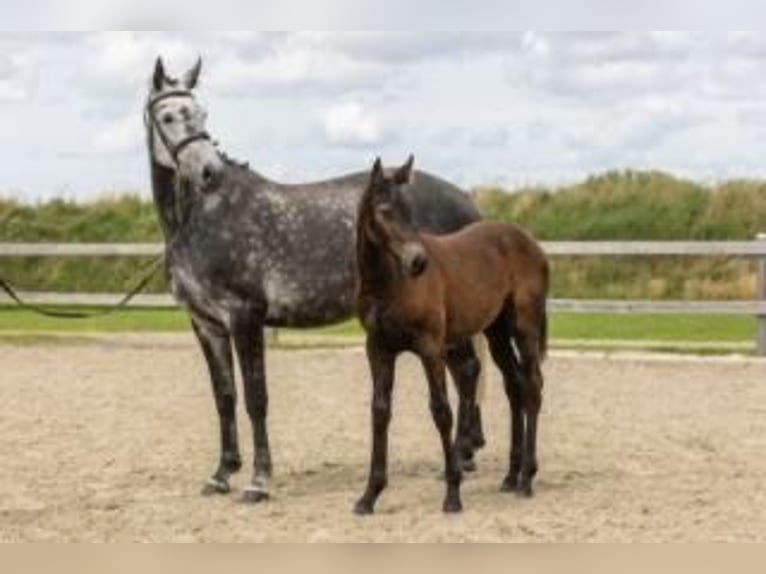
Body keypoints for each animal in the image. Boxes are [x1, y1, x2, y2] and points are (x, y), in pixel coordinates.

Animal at [356, 155, 548, 516]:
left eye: (410, 212)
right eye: (385, 210)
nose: (418, 262)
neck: (390, 285)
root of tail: (531, 243)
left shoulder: (430, 347)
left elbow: (441, 410)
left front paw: (453, 494)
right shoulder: (378, 349)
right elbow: (380, 411)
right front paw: (369, 496)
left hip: (524, 326)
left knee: (532, 386)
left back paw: (527, 479)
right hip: (496, 332)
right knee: (514, 386)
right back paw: (511, 476)